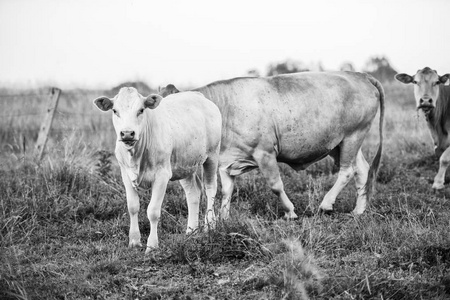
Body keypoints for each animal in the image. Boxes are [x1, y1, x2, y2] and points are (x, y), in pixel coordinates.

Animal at [92, 87, 221, 253]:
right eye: (115, 110)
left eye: (141, 110)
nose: (127, 133)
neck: (136, 156)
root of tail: (197, 95)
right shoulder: (125, 174)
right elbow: (132, 207)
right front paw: (134, 241)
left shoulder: (162, 176)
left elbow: (152, 211)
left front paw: (152, 246)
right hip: (185, 165)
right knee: (193, 192)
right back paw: (191, 231)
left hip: (212, 155)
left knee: (211, 188)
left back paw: (210, 226)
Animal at [158, 71, 384, 219]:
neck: (224, 109)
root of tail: (360, 75)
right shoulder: (227, 162)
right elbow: (226, 192)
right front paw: (223, 219)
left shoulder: (264, 153)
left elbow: (276, 185)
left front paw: (290, 212)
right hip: (340, 144)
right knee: (362, 170)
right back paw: (359, 210)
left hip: (352, 136)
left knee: (347, 171)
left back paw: (326, 204)